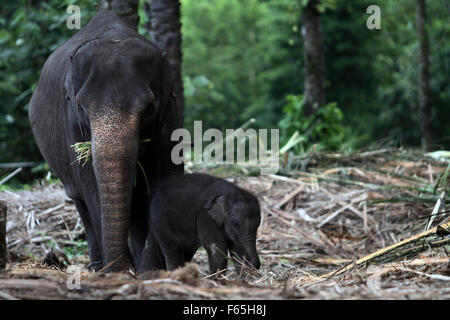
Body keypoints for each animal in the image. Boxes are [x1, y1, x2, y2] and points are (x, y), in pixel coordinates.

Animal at [29, 10, 183, 270]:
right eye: (80, 106)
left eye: (149, 108)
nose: (122, 268)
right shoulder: (72, 122)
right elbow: (91, 185)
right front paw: (119, 271)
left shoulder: (170, 114)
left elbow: (162, 178)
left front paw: (152, 269)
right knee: (80, 200)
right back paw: (97, 266)